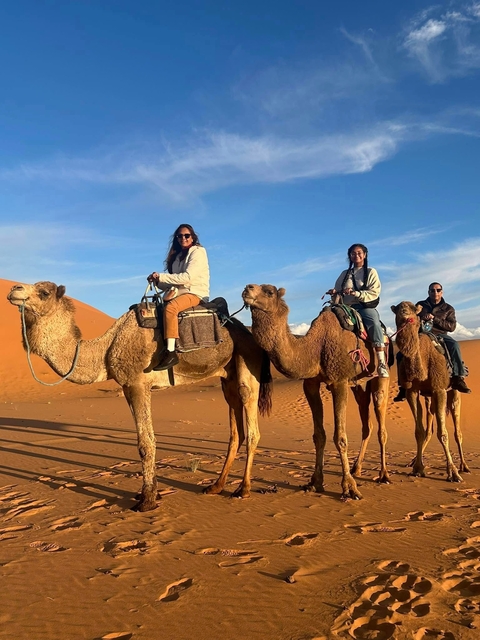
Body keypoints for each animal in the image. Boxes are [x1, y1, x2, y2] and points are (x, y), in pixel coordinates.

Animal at [7, 281, 273, 511]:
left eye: (44, 292)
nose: (14, 289)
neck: (106, 349)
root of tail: (250, 334)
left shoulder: (137, 384)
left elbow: (145, 443)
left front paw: (146, 500)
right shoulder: (127, 387)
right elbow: (146, 439)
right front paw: (151, 493)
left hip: (247, 364)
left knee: (252, 427)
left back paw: (243, 489)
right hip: (227, 377)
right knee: (236, 432)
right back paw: (216, 486)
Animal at [242, 284, 390, 501]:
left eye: (269, 291)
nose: (247, 288)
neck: (315, 348)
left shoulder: (339, 382)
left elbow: (341, 437)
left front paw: (350, 488)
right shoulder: (310, 385)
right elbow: (319, 435)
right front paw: (314, 482)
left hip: (380, 376)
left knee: (381, 424)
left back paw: (384, 475)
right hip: (358, 385)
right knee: (367, 422)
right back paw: (357, 468)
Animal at [391, 301, 468, 482]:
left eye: (414, 309)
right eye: (397, 309)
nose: (404, 313)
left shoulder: (439, 389)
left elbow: (443, 433)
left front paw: (453, 472)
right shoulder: (412, 392)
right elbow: (419, 431)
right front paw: (418, 468)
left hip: (453, 393)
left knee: (457, 431)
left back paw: (463, 466)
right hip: (428, 399)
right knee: (429, 428)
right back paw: (413, 462)